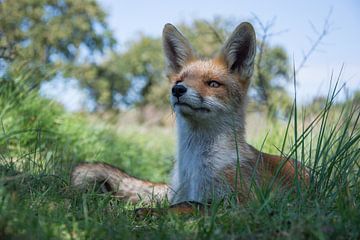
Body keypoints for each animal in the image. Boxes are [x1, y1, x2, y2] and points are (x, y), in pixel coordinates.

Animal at [71, 22, 310, 214]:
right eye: (180, 79)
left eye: (213, 83)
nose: (177, 89)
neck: (195, 169)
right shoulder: (180, 193)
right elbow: (178, 202)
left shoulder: (244, 202)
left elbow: (189, 205)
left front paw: (142, 214)